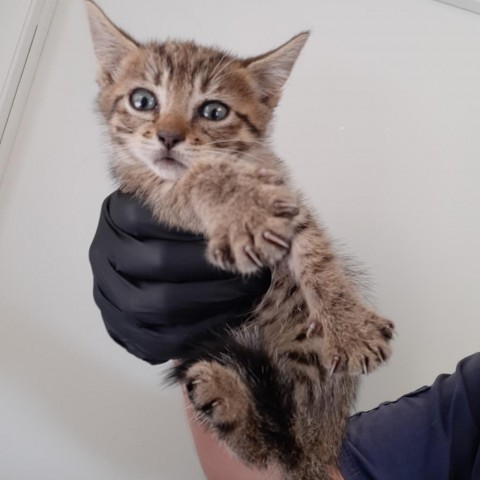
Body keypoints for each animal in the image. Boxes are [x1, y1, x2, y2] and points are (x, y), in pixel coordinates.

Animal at [86, 1, 394, 478]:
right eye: (143, 101)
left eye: (214, 111)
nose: (168, 137)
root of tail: (324, 447)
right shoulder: (154, 193)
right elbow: (195, 182)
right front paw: (228, 198)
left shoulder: (289, 199)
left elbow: (318, 256)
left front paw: (349, 326)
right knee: (267, 446)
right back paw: (221, 393)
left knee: (281, 443)